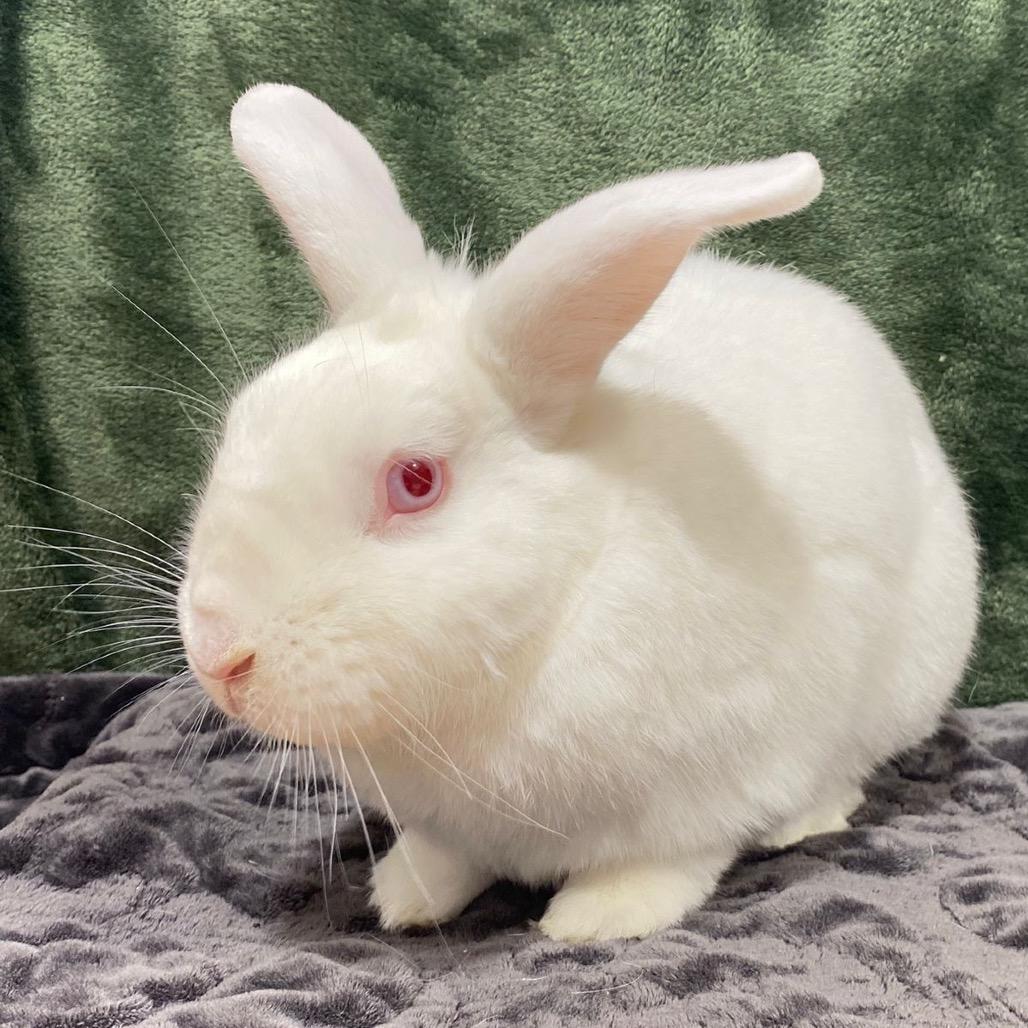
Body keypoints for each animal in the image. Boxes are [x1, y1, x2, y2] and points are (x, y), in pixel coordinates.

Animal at [176, 83, 979, 943]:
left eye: (416, 480)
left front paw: (595, 920)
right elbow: (445, 856)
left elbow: (667, 861)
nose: (217, 656)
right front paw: (405, 897)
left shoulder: (709, 786)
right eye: (245, 420)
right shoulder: (453, 823)